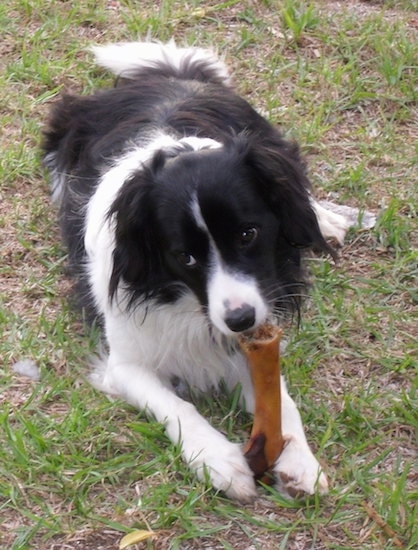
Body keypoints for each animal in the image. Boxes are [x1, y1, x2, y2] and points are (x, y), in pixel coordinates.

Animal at [43, 41, 350, 502]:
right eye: (185, 257)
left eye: (248, 234)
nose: (239, 319)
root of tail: (173, 76)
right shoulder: (125, 363)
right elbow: (175, 404)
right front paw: (218, 458)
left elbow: (280, 399)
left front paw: (299, 460)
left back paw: (324, 220)